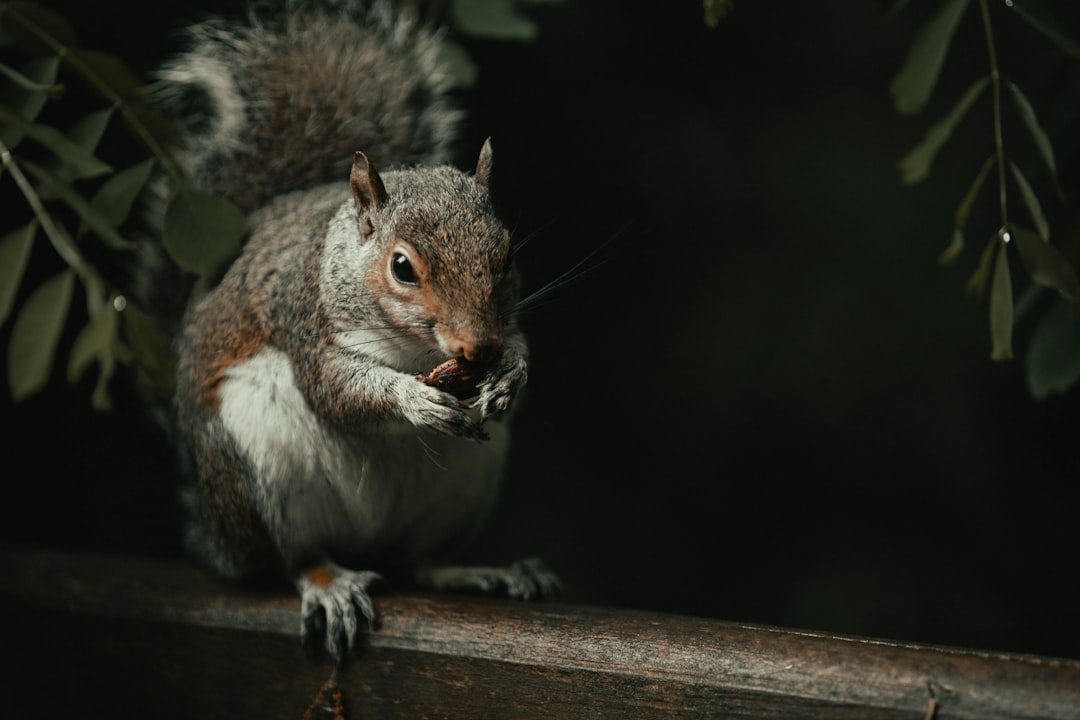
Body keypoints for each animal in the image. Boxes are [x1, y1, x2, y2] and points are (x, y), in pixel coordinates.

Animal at [139, 0, 561, 660]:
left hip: (462, 488)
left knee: (416, 561)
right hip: (252, 464)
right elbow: (338, 392)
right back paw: (327, 582)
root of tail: (215, 533)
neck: (416, 348)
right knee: (286, 559)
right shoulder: (304, 321)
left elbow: (519, 344)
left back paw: (472, 571)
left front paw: (510, 373)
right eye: (402, 267)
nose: (479, 348)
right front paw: (412, 399)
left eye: (507, 254)